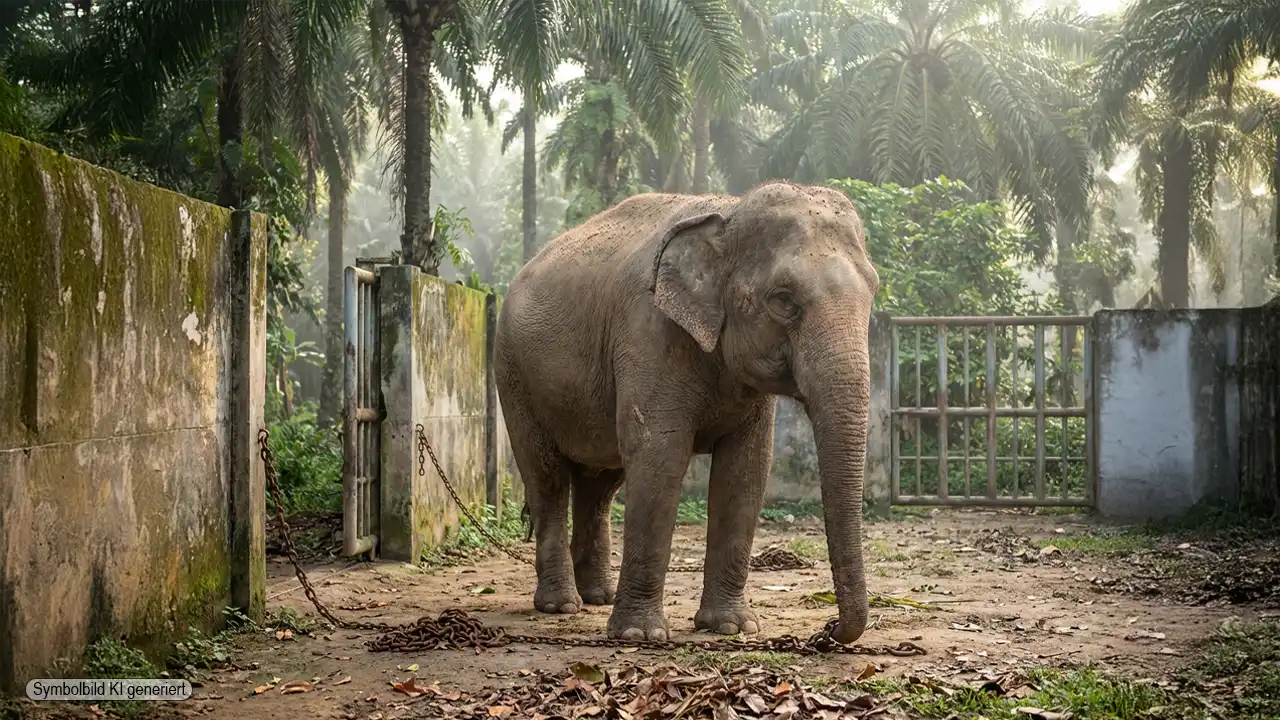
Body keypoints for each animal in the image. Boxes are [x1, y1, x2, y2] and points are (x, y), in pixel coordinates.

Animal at [493, 181, 879, 644]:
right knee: (547, 477)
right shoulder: (648, 333)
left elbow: (746, 468)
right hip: (513, 374)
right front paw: (639, 636)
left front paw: (732, 627)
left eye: (873, 292)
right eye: (784, 301)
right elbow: (659, 455)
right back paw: (560, 606)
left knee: (601, 484)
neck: (729, 212)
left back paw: (598, 597)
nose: (828, 630)